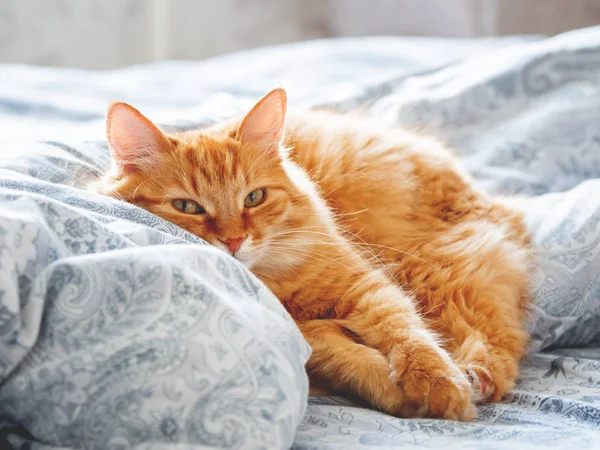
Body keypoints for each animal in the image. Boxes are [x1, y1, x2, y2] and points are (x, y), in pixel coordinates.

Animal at [92, 89, 528, 422]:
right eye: (187, 207)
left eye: (254, 198)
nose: (234, 241)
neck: (273, 279)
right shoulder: (306, 332)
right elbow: (346, 353)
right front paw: (396, 392)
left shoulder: (364, 285)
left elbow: (409, 336)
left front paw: (441, 385)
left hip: (432, 270)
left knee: (498, 337)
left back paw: (474, 377)